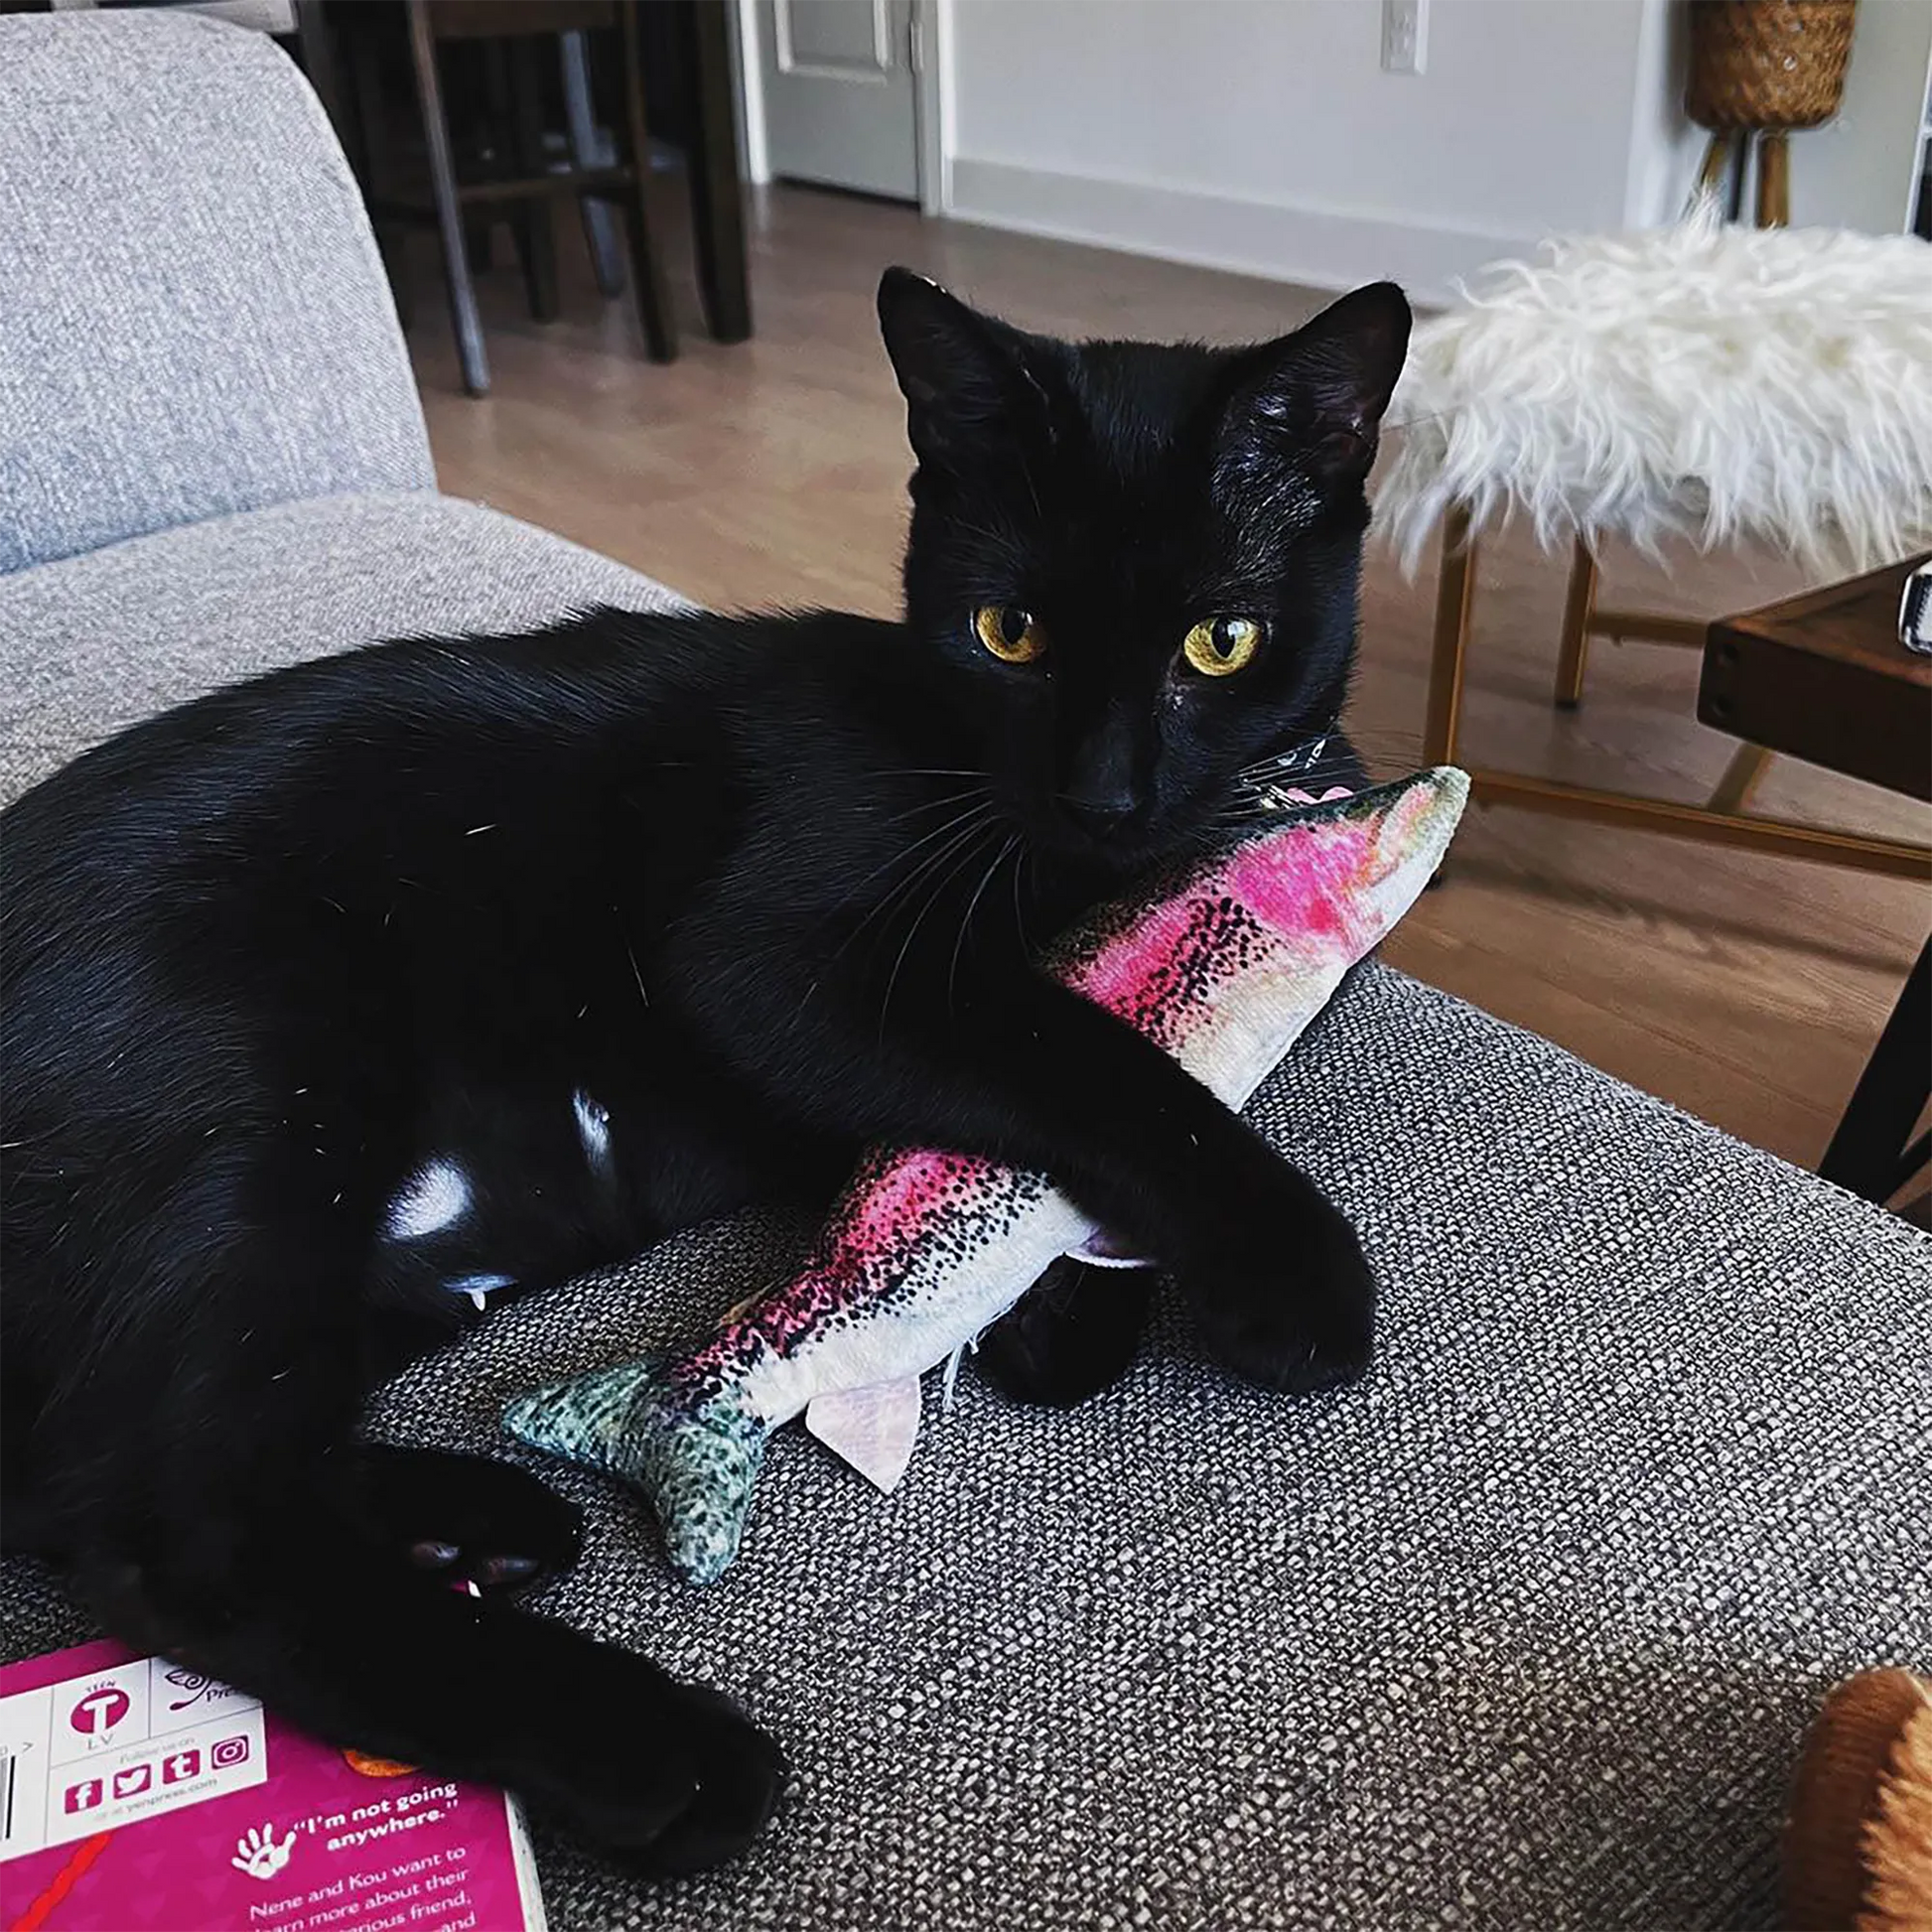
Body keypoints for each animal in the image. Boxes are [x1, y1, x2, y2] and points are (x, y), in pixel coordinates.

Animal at [0, 272, 1406, 1869]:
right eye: (1010, 634)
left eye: (1218, 644)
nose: (1105, 795)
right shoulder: (773, 962)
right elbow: (1090, 1056)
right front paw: (1284, 1263)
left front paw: (1052, 1311)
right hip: (252, 1107)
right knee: (164, 1515)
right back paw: (647, 1751)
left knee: (99, 1461)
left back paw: (474, 1519)